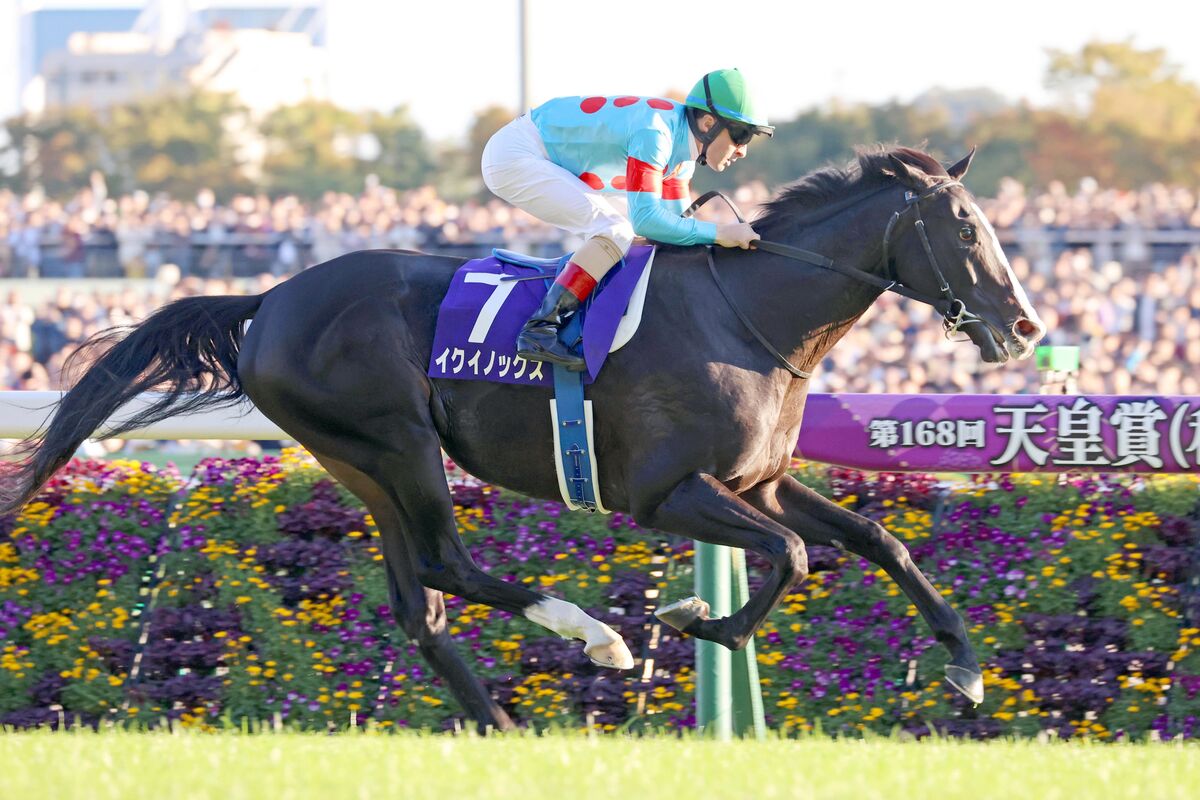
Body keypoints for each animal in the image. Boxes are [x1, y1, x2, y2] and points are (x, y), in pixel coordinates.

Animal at [0, 146, 1045, 732]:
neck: (746, 314)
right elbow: (788, 556)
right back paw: (592, 636)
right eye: (964, 227)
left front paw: (964, 669)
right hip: (397, 443)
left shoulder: (759, 480)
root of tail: (271, 297)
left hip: (360, 463)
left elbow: (879, 538)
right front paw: (689, 620)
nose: (1026, 326)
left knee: (420, 604)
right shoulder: (667, 493)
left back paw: (502, 725)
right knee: (448, 567)